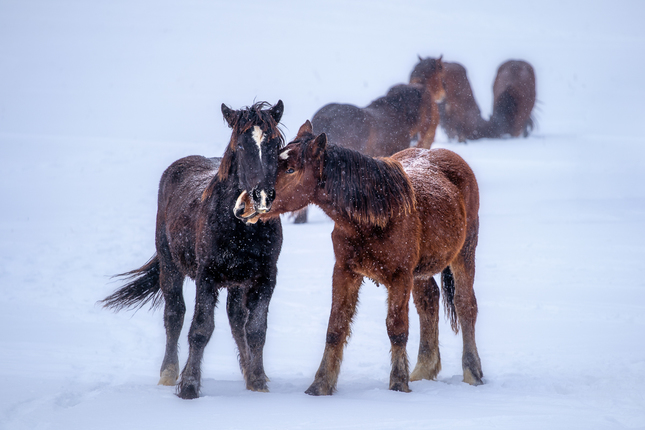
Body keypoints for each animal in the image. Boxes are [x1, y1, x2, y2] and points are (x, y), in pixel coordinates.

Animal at [102, 100, 284, 400]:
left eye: (275, 144)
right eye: (241, 145)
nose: (262, 197)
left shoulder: (265, 278)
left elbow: (256, 330)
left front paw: (258, 382)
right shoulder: (206, 276)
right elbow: (200, 328)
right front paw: (188, 385)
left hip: (236, 282)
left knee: (236, 320)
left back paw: (246, 371)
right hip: (170, 267)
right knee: (174, 315)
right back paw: (168, 373)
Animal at [238, 120, 484, 394]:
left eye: (291, 169)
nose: (244, 205)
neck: (377, 216)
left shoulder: (400, 277)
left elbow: (397, 328)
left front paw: (398, 383)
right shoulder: (345, 271)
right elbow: (336, 327)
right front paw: (320, 385)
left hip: (464, 252)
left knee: (465, 305)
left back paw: (472, 372)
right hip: (422, 271)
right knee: (429, 302)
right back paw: (423, 371)